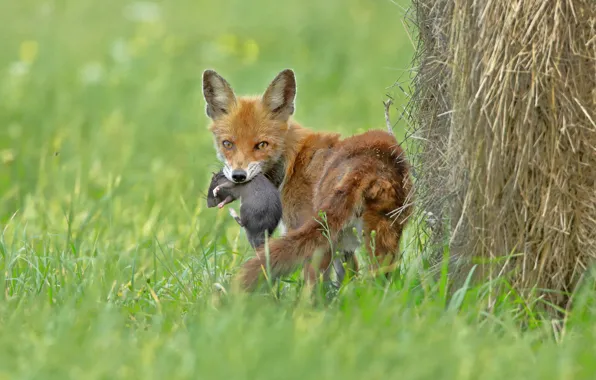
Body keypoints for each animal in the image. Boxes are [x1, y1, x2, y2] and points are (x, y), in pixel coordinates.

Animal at [203, 68, 412, 290]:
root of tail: (370, 161)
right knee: (381, 285)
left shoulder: (307, 232)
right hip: (382, 238)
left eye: (261, 145)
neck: (292, 162)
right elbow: (347, 281)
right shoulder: (344, 246)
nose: (238, 176)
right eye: (227, 144)